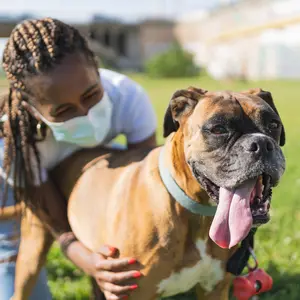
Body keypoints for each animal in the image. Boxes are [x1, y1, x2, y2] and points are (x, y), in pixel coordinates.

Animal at [12, 85, 286, 298]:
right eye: (219, 129)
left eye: (273, 124)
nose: (261, 143)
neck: (196, 214)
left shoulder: (214, 290)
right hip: (32, 254)